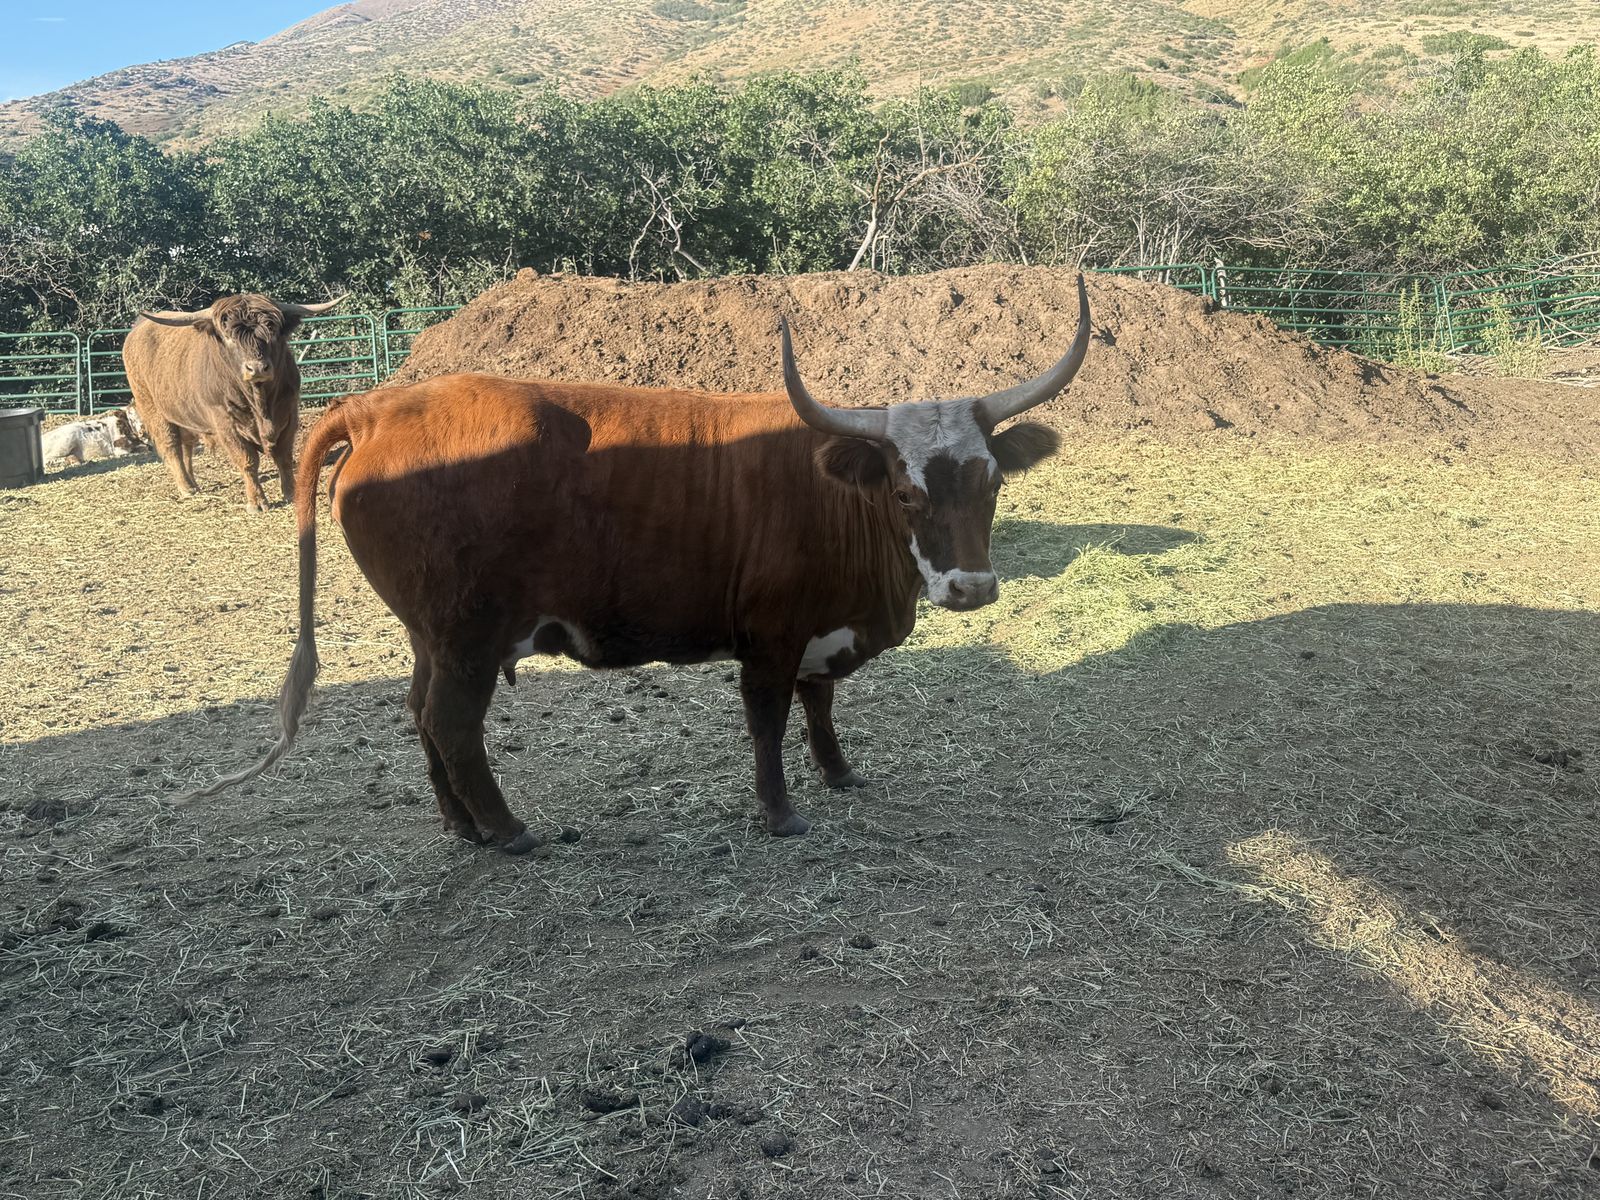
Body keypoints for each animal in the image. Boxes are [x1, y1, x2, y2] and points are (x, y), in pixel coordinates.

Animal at [124, 293, 345, 511]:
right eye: (228, 337)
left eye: (271, 329)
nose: (257, 368)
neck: (261, 405)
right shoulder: (225, 423)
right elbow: (247, 460)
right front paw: (257, 502)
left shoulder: (289, 414)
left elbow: (283, 457)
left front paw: (291, 493)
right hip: (153, 409)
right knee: (172, 447)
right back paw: (186, 488)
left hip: (183, 416)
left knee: (186, 446)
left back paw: (193, 483)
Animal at [182, 278, 1092, 852]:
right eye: (906, 492)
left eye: (992, 481)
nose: (970, 587)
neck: (836, 495)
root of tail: (380, 405)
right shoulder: (768, 638)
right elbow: (770, 721)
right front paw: (780, 813)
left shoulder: (816, 634)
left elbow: (820, 705)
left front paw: (838, 774)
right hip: (468, 636)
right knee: (452, 723)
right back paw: (506, 831)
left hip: (429, 635)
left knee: (419, 716)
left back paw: (461, 825)